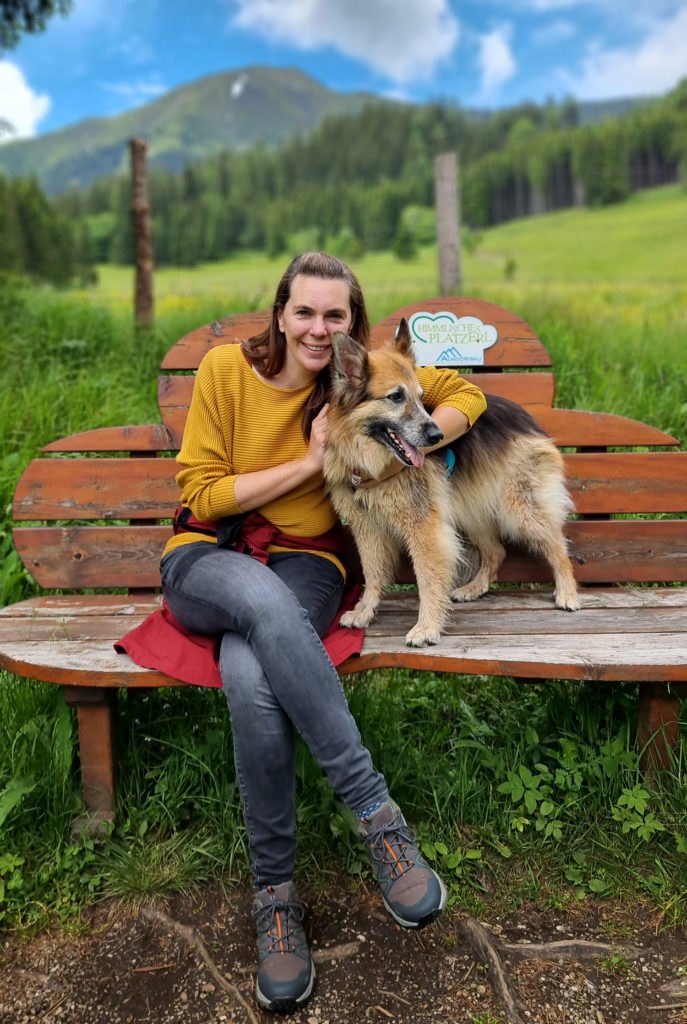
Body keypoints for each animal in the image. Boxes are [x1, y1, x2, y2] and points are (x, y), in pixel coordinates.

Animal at [323, 319, 581, 647]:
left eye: (420, 397)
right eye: (395, 397)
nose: (437, 436)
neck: (367, 457)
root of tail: (526, 417)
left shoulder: (424, 528)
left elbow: (428, 578)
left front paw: (427, 627)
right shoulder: (366, 526)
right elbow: (373, 572)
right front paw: (365, 611)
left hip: (521, 509)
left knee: (557, 544)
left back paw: (568, 592)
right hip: (472, 513)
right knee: (497, 551)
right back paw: (474, 588)